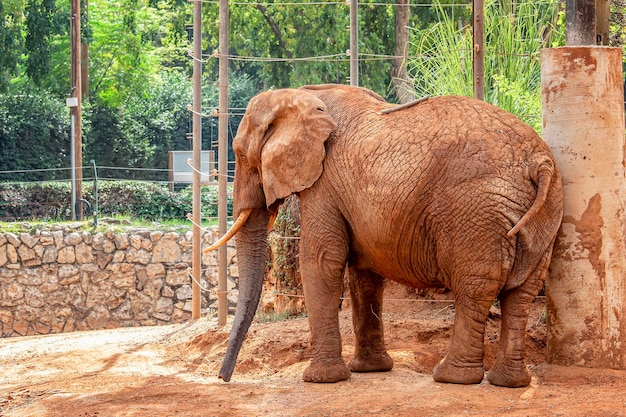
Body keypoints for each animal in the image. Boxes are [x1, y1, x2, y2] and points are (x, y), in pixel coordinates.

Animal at [205, 83, 560, 386]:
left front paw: (321, 380)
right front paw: (370, 369)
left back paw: (451, 377)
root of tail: (538, 161)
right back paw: (509, 382)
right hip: (545, 214)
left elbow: (321, 261)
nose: (223, 378)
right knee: (521, 293)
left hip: (474, 210)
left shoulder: (324, 183)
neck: (299, 94)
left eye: (240, 154)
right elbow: (364, 274)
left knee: (476, 288)